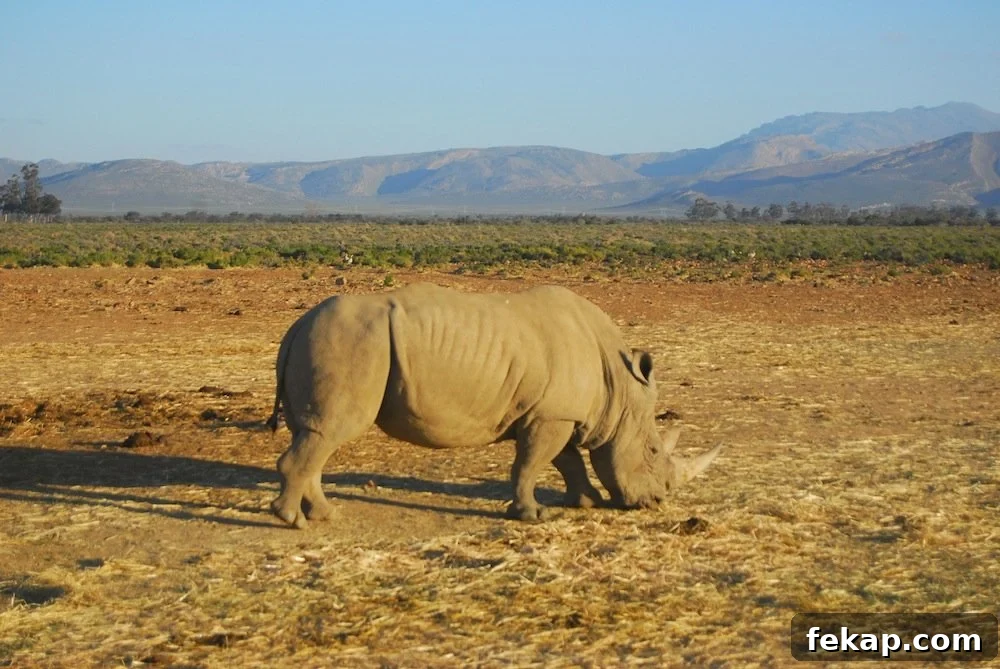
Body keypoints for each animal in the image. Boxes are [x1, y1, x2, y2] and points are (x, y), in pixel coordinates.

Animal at [266, 283, 721, 528]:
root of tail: (296, 326)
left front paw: (586, 502)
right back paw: (293, 521)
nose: (657, 502)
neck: (620, 390)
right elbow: (532, 464)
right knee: (329, 431)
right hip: (352, 342)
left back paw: (323, 515)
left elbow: (567, 461)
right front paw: (532, 515)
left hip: (328, 340)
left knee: (315, 433)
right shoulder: (550, 416)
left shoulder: (555, 412)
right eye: (652, 451)